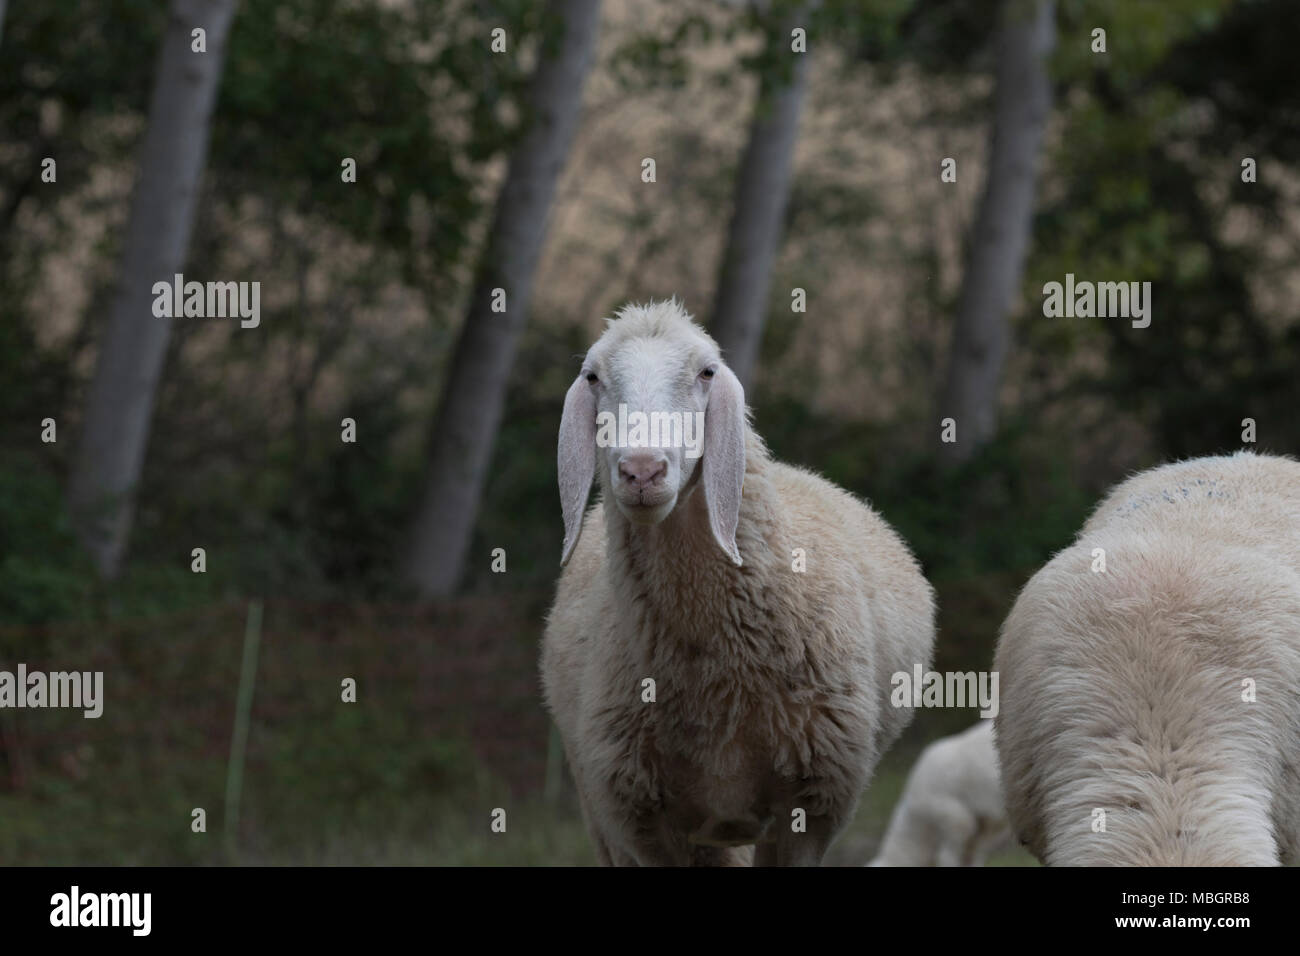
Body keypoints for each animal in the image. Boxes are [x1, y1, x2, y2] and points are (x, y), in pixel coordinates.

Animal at [541, 299, 936, 866]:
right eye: (593, 377)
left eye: (707, 372)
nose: (641, 471)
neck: (713, 672)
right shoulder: (644, 820)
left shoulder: (810, 807)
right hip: (607, 812)